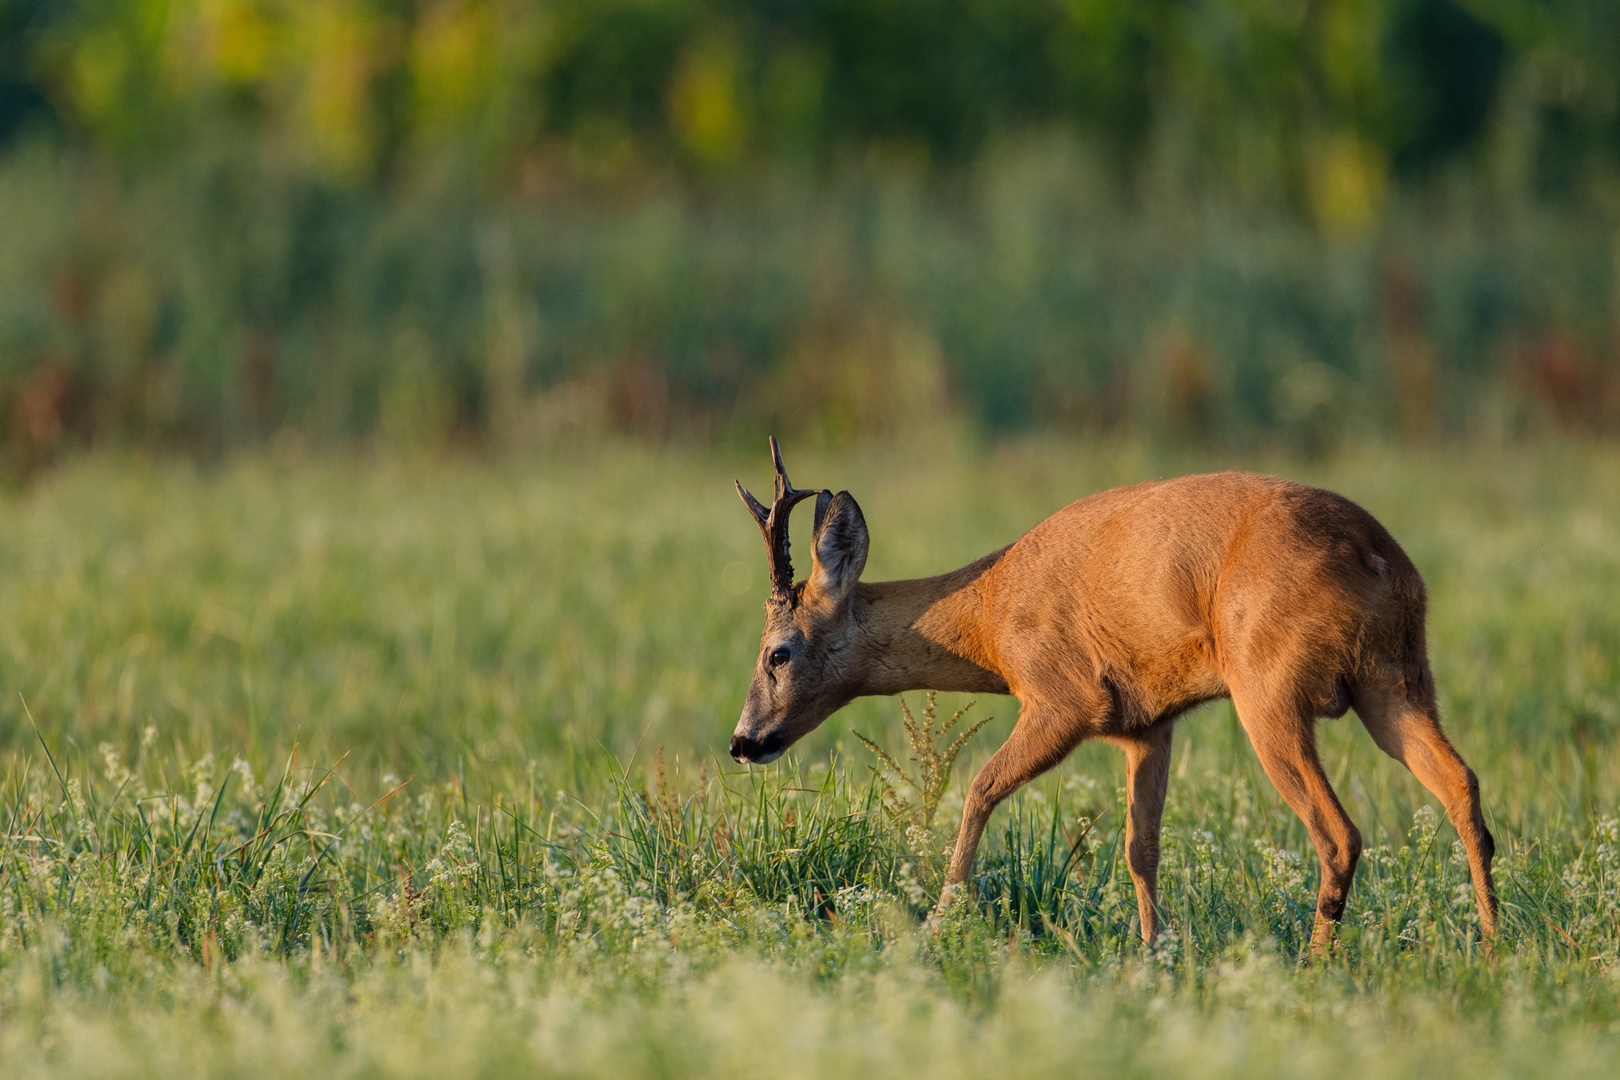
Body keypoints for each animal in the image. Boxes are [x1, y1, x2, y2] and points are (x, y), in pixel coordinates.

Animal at [729, 433, 1496, 952]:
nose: (742, 741)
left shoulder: (1064, 697)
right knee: (1462, 785)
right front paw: (1154, 953)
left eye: (777, 652)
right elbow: (1140, 845)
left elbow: (978, 788)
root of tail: (1380, 557)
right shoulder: (1148, 721)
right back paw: (1492, 949)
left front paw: (941, 922)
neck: (991, 619)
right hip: (1396, 680)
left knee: (1339, 833)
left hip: (1269, 688)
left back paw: (1314, 968)